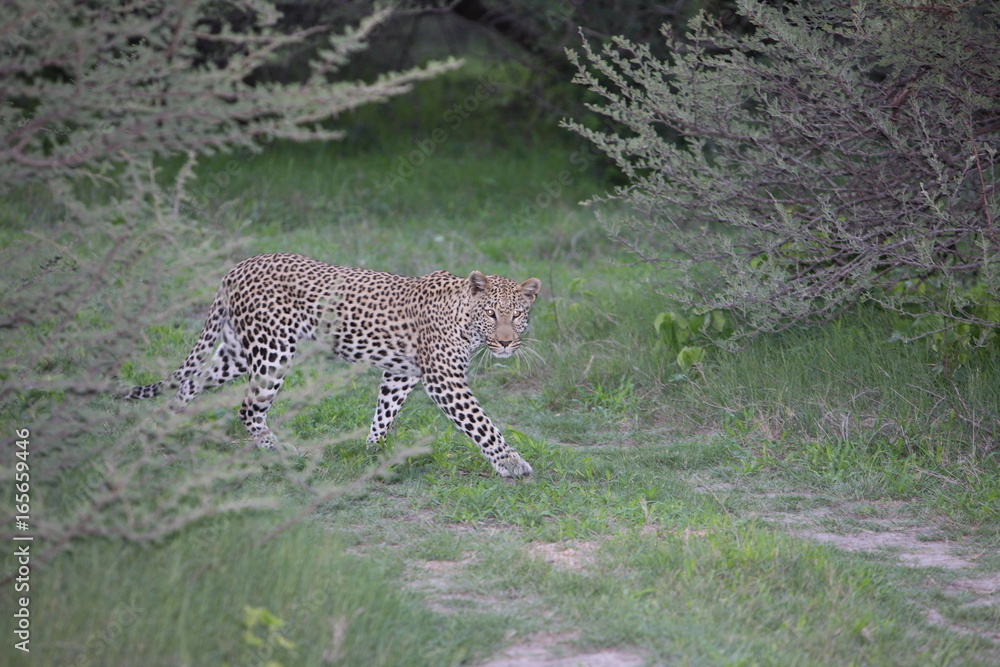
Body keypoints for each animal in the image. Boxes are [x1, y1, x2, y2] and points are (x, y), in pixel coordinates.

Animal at [125, 253, 541, 477]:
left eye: (518, 314)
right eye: (491, 314)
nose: (507, 342)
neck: (464, 318)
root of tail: (239, 266)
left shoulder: (401, 374)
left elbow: (385, 411)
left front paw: (375, 450)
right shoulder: (444, 379)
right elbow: (482, 424)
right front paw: (511, 462)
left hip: (239, 352)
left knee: (193, 379)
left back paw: (164, 426)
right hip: (272, 351)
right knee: (247, 408)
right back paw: (278, 451)